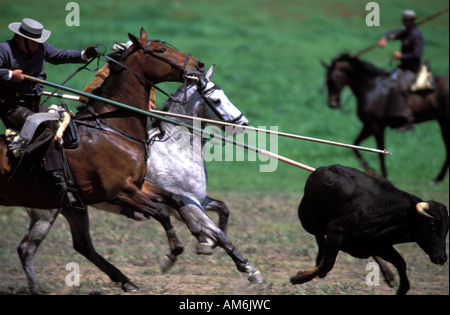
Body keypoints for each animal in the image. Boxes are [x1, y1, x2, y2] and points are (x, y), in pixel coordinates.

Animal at [0, 28, 205, 292]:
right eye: (160, 50)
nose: (199, 65)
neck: (111, 129)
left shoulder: (136, 186)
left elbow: (175, 200)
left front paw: (199, 234)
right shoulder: (119, 192)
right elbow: (161, 212)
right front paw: (172, 253)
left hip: (71, 208)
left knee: (81, 245)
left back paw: (126, 281)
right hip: (47, 212)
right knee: (27, 248)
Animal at [18, 65, 260, 296]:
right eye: (217, 100)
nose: (243, 123)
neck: (176, 148)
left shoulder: (196, 200)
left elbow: (223, 210)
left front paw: (207, 246)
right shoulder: (189, 204)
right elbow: (219, 233)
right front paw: (249, 270)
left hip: (74, 208)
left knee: (83, 245)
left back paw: (127, 282)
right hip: (46, 214)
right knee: (27, 249)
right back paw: (37, 288)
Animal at [290, 165, 448, 296]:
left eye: (447, 229)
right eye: (432, 224)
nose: (442, 258)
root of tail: (321, 170)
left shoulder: (380, 244)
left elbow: (401, 263)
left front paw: (400, 287)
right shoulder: (335, 231)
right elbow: (328, 263)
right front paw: (298, 278)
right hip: (309, 221)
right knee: (319, 237)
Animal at [322, 53, 448, 183]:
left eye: (331, 80)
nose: (332, 103)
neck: (371, 88)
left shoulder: (376, 125)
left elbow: (379, 150)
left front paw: (382, 174)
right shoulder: (368, 125)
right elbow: (356, 144)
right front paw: (370, 169)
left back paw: (437, 179)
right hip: (442, 121)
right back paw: (438, 178)